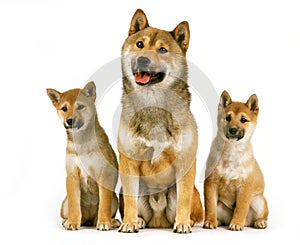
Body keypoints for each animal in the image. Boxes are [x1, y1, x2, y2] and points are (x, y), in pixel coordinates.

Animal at [46, 81, 120, 231]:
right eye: (64, 108)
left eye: (80, 106)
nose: (69, 120)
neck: (82, 143)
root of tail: (89, 220)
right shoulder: (72, 175)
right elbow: (74, 205)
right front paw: (72, 222)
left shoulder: (104, 175)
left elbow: (104, 204)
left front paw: (104, 223)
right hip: (64, 204)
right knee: (71, 213)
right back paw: (67, 221)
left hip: (115, 199)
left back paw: (111, 221)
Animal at [117, 8, 204, 233]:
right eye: (140, 44)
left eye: (163, 50)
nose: (143, 60)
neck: (153, 104)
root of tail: (159, 222)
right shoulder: (129, 161)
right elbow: (130, 200)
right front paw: (129, 222)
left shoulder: (185, 161)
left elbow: (183, 200)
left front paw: (182, 224)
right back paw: (139, 221)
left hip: (190, 192)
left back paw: (185, 221)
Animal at [205, 91, 268, 231]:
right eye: (228, 118)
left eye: (243, 120)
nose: (233, 130)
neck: (231, 151)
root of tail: (248, 223)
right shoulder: (211, 183)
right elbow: (210, 206)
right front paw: (210, 221)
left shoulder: (245, 187)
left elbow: (241, 208)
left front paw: (237, 223)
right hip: (220, 205)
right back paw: (218, 221)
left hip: (258, 200)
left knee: (262, 215)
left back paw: (259, 222)